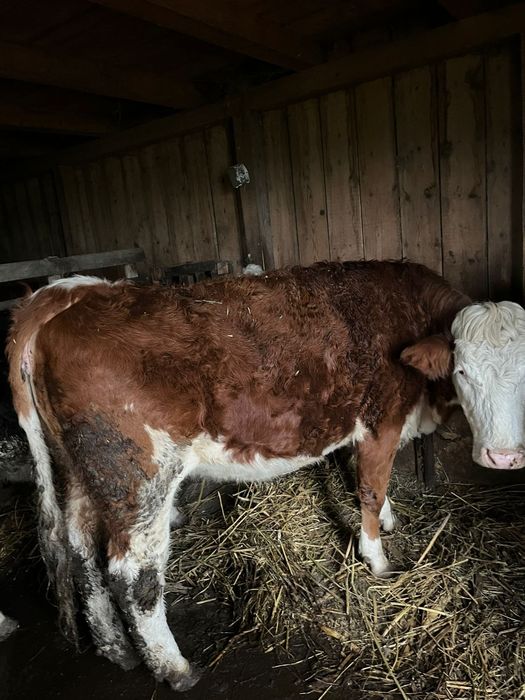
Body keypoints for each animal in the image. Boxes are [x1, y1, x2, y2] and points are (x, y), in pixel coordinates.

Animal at [4, 260, 521, 689]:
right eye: (463, 371)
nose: (503, 457)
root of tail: (69, 302)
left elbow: (371, 480)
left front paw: (391, 521)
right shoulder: (383, 421)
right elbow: (370, 489)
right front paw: (377, 560)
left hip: (81, 471)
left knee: (80, 553)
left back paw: (114, 648)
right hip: (139, 475)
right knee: (133, 573)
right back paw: (175, 668)